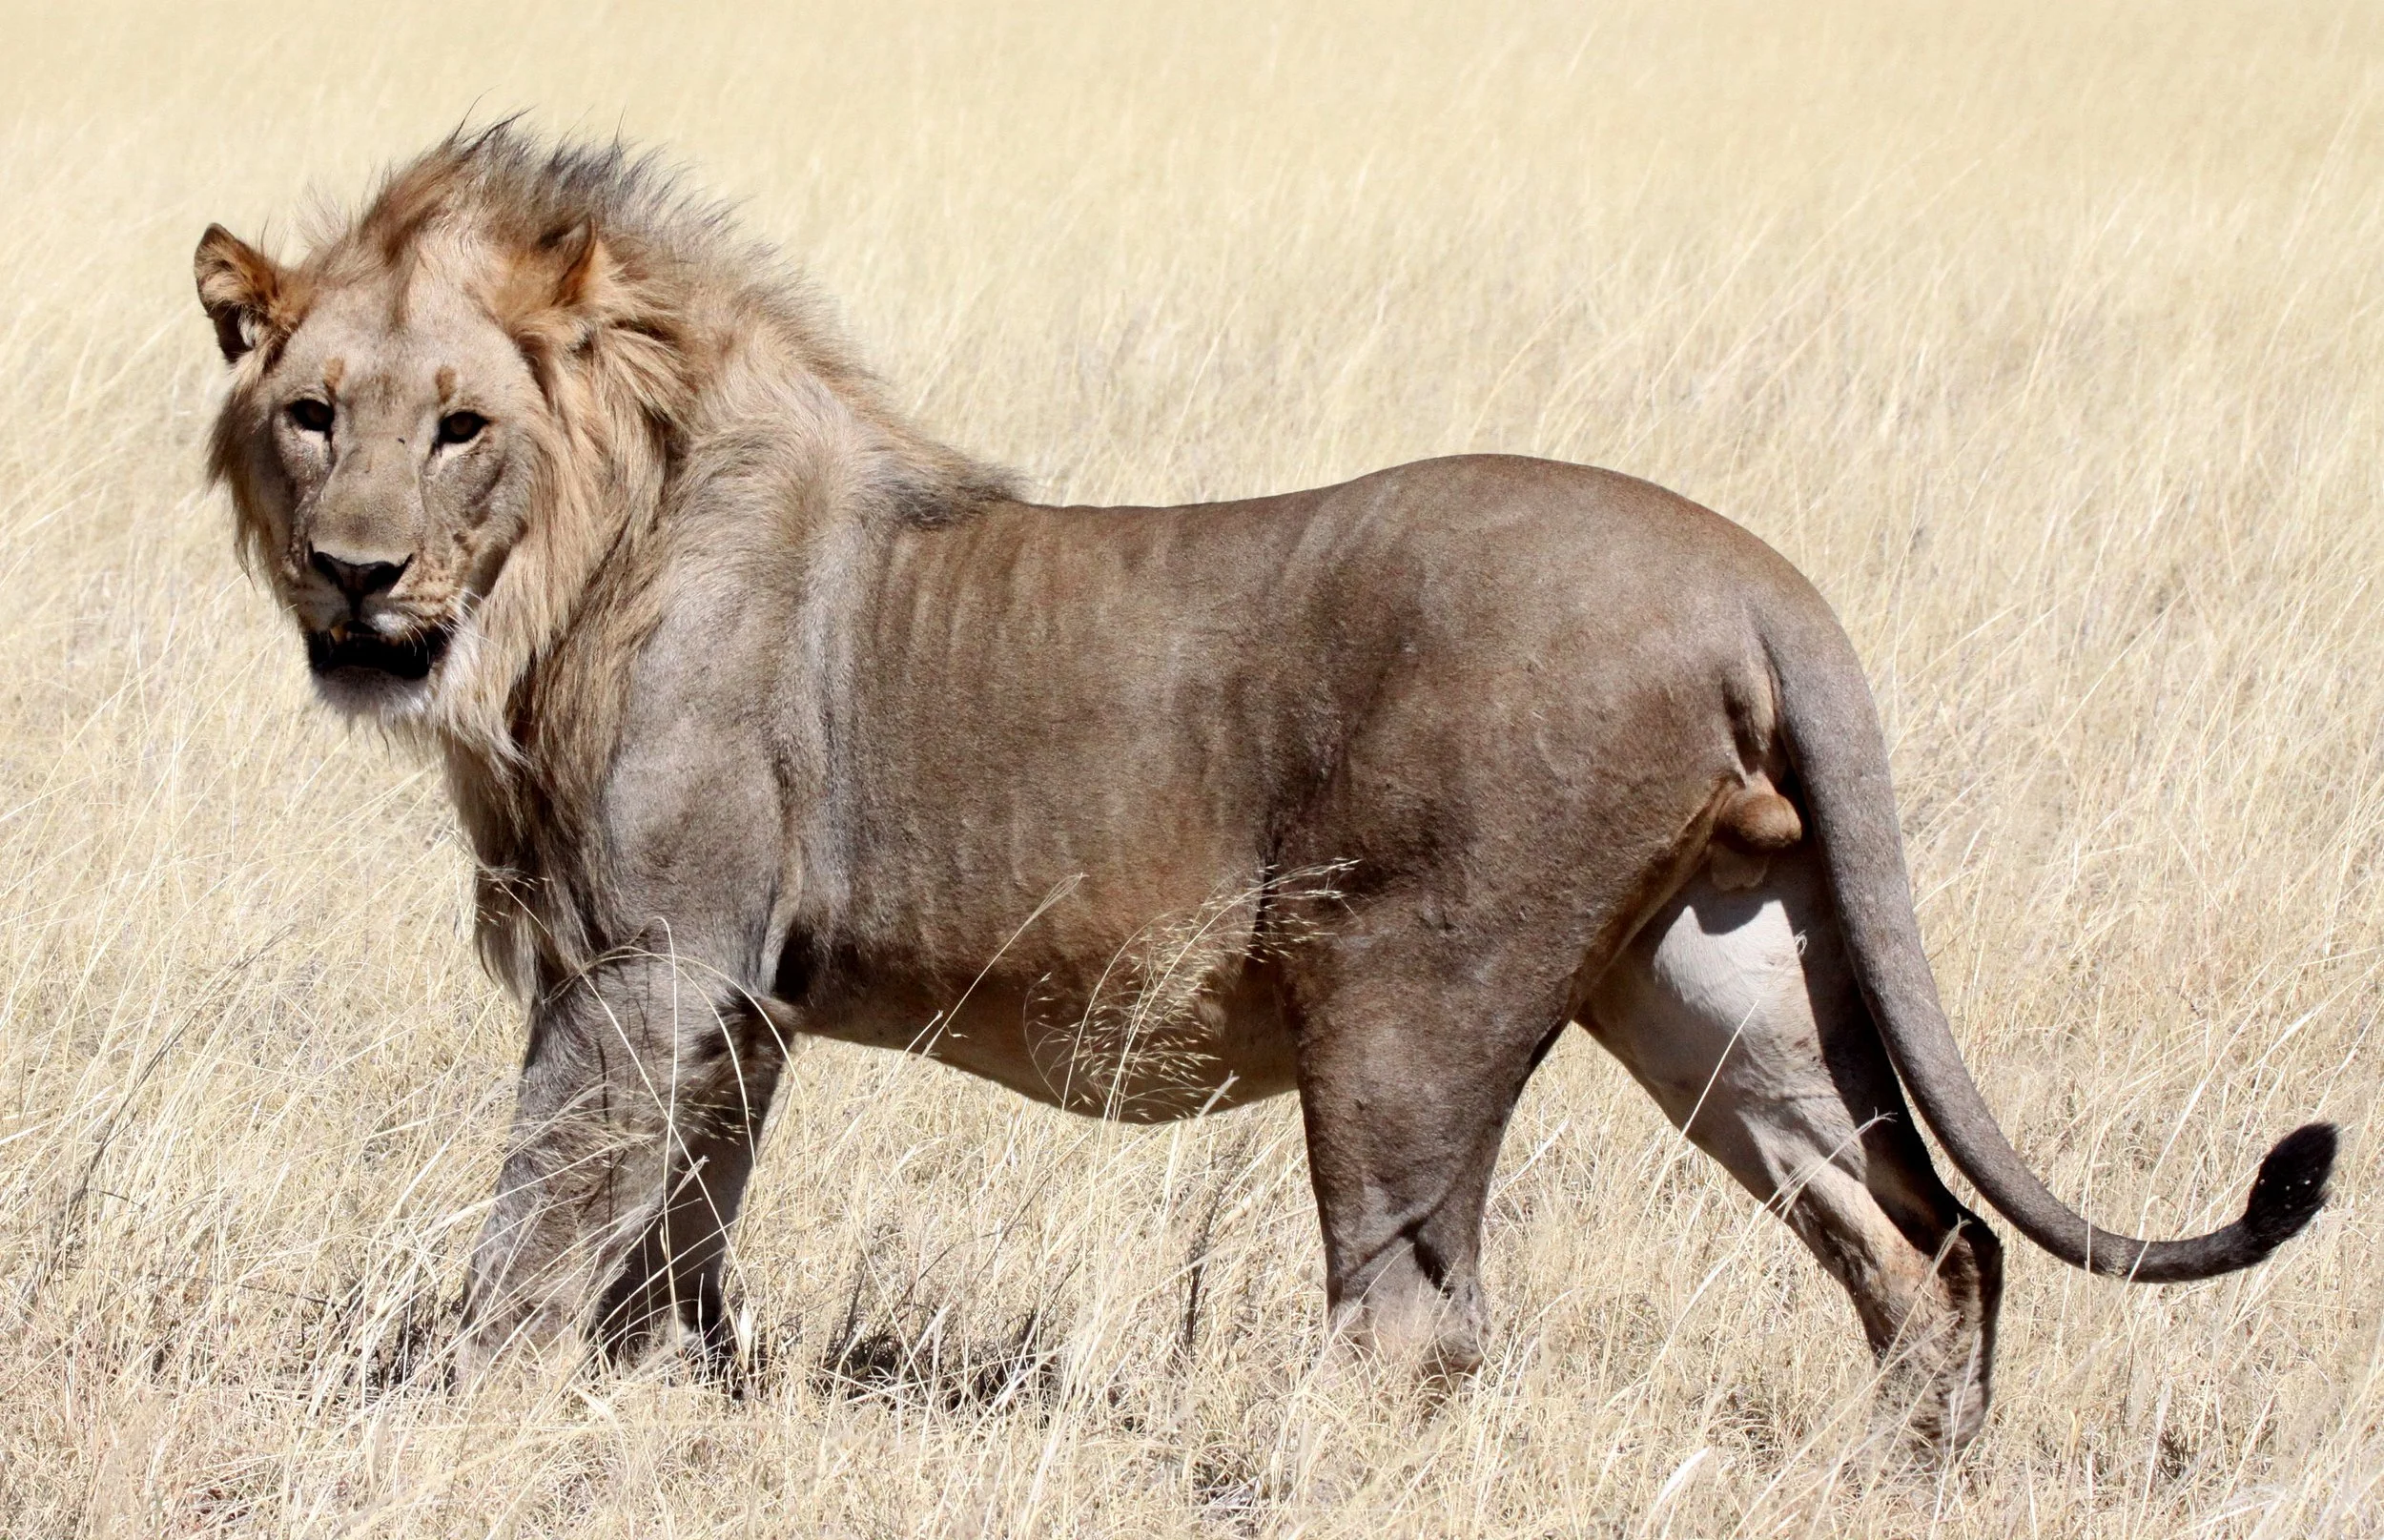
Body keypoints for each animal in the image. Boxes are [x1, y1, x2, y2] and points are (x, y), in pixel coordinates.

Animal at [194, 127, 2334, 1449]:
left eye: (458, 427)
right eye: (309, 415)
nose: (355, 576)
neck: (572, 563)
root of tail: (1762, 582)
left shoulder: (643, 966)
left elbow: (532, 1230)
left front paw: (453, 1420)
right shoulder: (735, 997)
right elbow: (671, 1241)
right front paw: (671, 1406)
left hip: (1403, 1003)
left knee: (1417, 1317)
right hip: (1720, 975)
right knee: (1929, 1248)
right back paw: (1896, 1477)